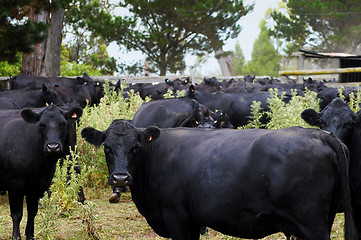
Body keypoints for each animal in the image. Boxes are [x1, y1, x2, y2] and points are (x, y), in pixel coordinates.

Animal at [0, 104, 82, 239]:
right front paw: (16, 236)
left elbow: (32, 212)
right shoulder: (15, 184)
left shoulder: (38, 185)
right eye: (41, 125)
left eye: (63, 124)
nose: (53, 147)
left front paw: (30, 235)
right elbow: (17, 214)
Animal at [81, 122, 354, 240]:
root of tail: (318, 134)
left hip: (312, 224)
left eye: (135, 148)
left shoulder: (175, 216)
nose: (121, 177)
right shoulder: (192, 222)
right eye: (107, 148)